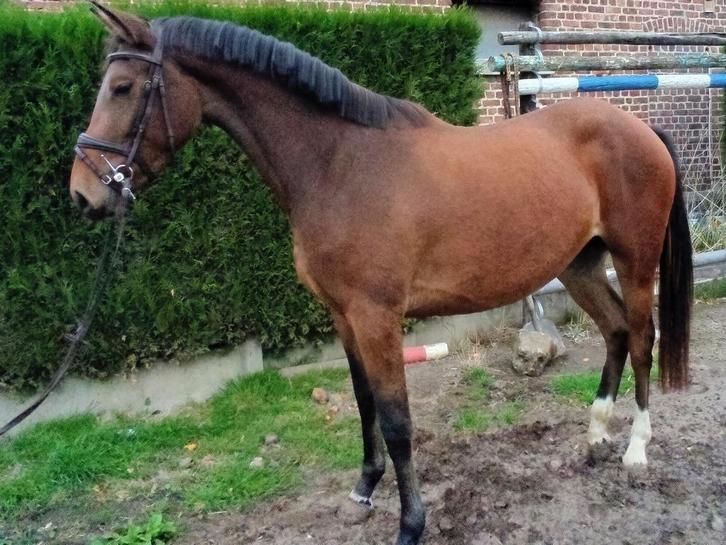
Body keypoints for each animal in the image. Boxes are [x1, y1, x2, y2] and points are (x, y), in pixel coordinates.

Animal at [70, 5, 693, 544]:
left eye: (123, 88)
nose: (83, 194)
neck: (339, 164)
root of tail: (642, 131)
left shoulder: (377, 317)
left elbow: (397, 421)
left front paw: (411, 524)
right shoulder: (344, 315)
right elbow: (364, 401)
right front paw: (365, 488)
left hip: (635, 264)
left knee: (642, 338)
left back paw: (636, 449)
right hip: (580, 265)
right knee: (615, 331)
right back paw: (596, 432)